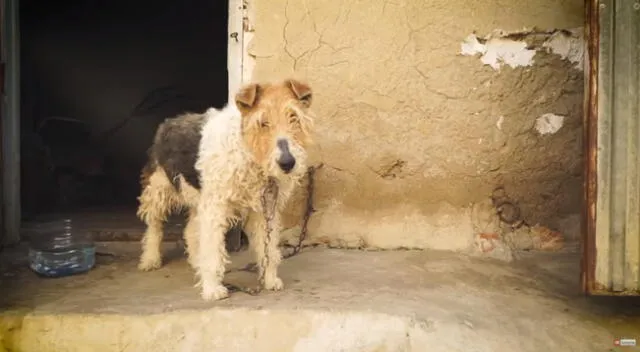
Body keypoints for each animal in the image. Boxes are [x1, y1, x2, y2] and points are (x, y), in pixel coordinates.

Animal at [136, 79, 316, 300]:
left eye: (294, 118)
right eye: (262, 122)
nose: (287, 163)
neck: (248, 152)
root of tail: (169, 121)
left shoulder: (264, 210)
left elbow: (268, 249)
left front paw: (270, 279)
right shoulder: (216, 208)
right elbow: (214, 252)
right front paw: (212, 289)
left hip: (198, 198)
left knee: (190, 231)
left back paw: (196, 263)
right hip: (159, 189)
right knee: (154, 226)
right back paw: (150, 259)